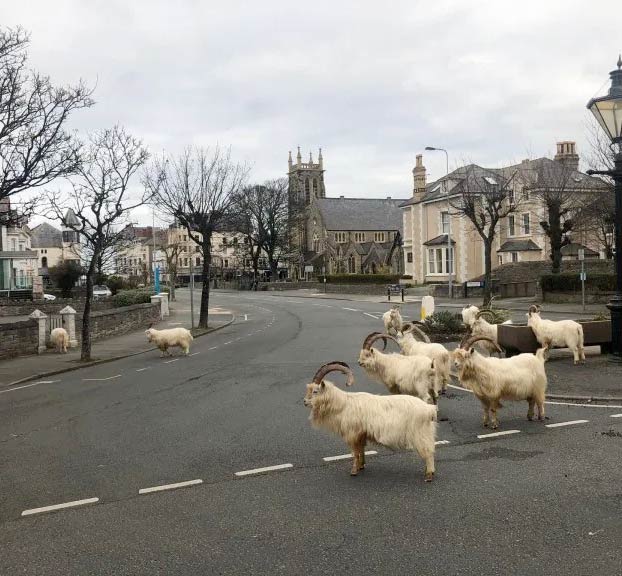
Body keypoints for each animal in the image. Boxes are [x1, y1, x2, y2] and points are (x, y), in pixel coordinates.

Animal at [304, 362, 436, 480]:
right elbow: (361, 450)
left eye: (315, 391)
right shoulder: (361, 434)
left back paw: (429, 475)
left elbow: (355, 452)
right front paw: (361, 466)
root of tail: (429, 409)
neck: (343, 404)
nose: (305, 402)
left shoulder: (352, 434)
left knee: (428, 452)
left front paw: (354, 471)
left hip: (420, 434)